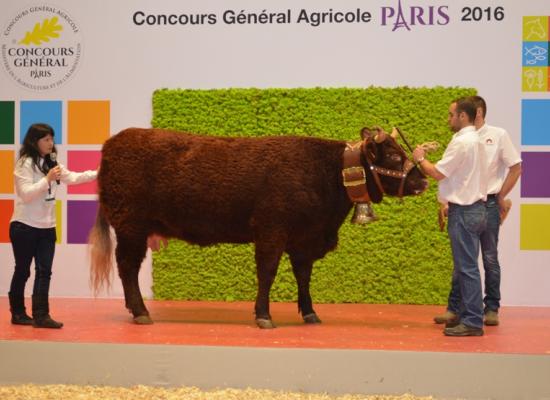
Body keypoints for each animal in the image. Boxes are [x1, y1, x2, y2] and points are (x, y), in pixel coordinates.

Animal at [89, 128, 426, 328]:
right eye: (394, 155)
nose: (422, 180)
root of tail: (114, 142)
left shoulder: (304, 240)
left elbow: (304, 277)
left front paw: (310, 313)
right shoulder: (271, 231)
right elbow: (267, 273)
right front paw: (264, 315)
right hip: (130, 226)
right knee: (127, 267)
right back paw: (141, 312)